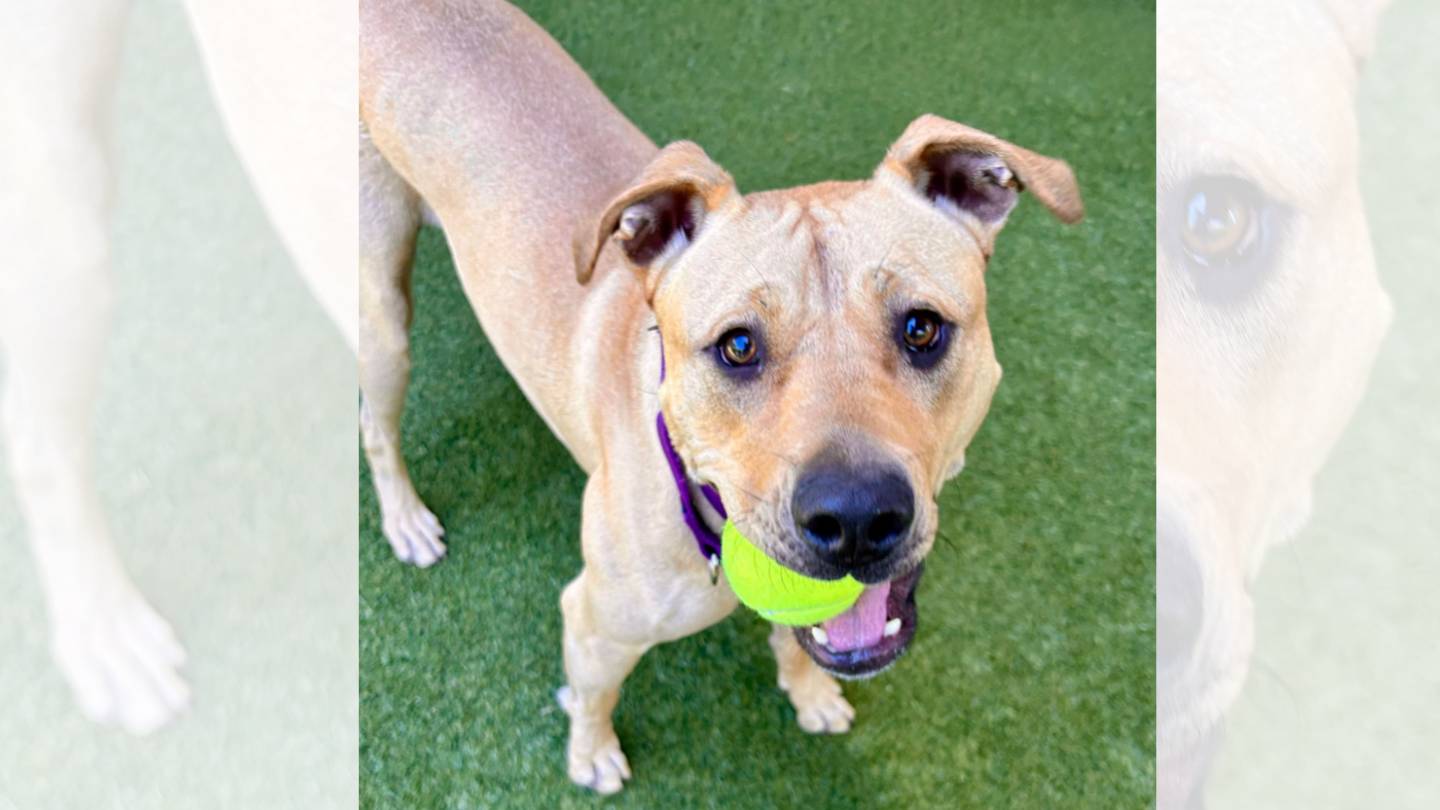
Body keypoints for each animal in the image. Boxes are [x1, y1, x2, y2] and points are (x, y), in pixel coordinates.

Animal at [357, 0, 1082, 789]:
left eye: (922, 328)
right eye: (737, 346)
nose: (857, 520)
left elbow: (799, 638)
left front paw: (810, 693)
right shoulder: (593, 619)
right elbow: (594, 693)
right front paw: (591, 753)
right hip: (384, 318)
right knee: (378, 429)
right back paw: (406, 521)